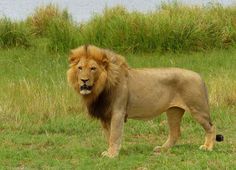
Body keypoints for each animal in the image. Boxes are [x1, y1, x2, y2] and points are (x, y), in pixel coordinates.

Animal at [67, 44, 223, 158]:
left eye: (93, 68)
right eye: (80, 68)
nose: (84, 80)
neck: (100, 88)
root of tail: (199, 75)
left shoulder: (118, 112)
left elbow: (114, 134)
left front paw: (112, 154)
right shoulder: (105, 115)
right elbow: (109, 134)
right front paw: (111, 151)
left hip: (197, 109)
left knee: (211, 127)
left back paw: (207, 147)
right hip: (173, 111)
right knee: (176, 132)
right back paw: (162, 149)